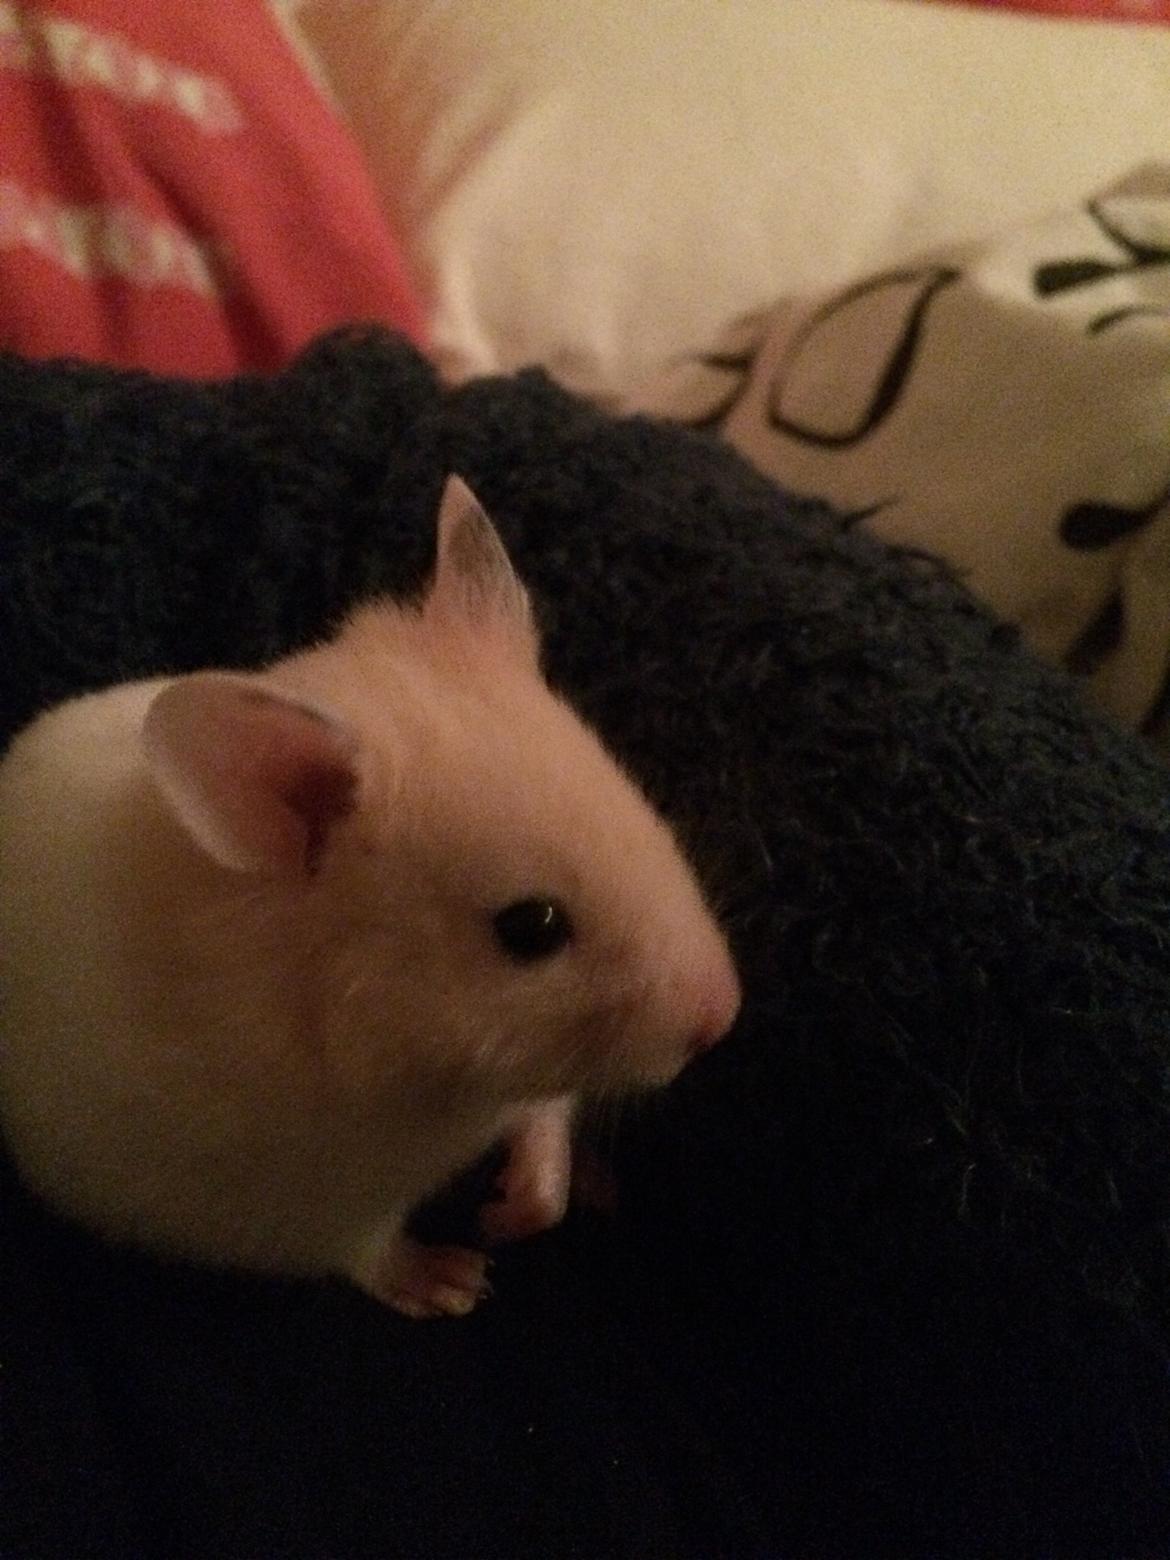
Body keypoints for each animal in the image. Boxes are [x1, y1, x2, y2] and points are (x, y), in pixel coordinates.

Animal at [0, 477, 740, 1317]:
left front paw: (514, 1212)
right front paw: (458, 1282)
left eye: (647, 816)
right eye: (531, 927)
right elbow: (369, 1251)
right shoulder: (293, 1212)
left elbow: (544, 1116)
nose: (725, 1016)